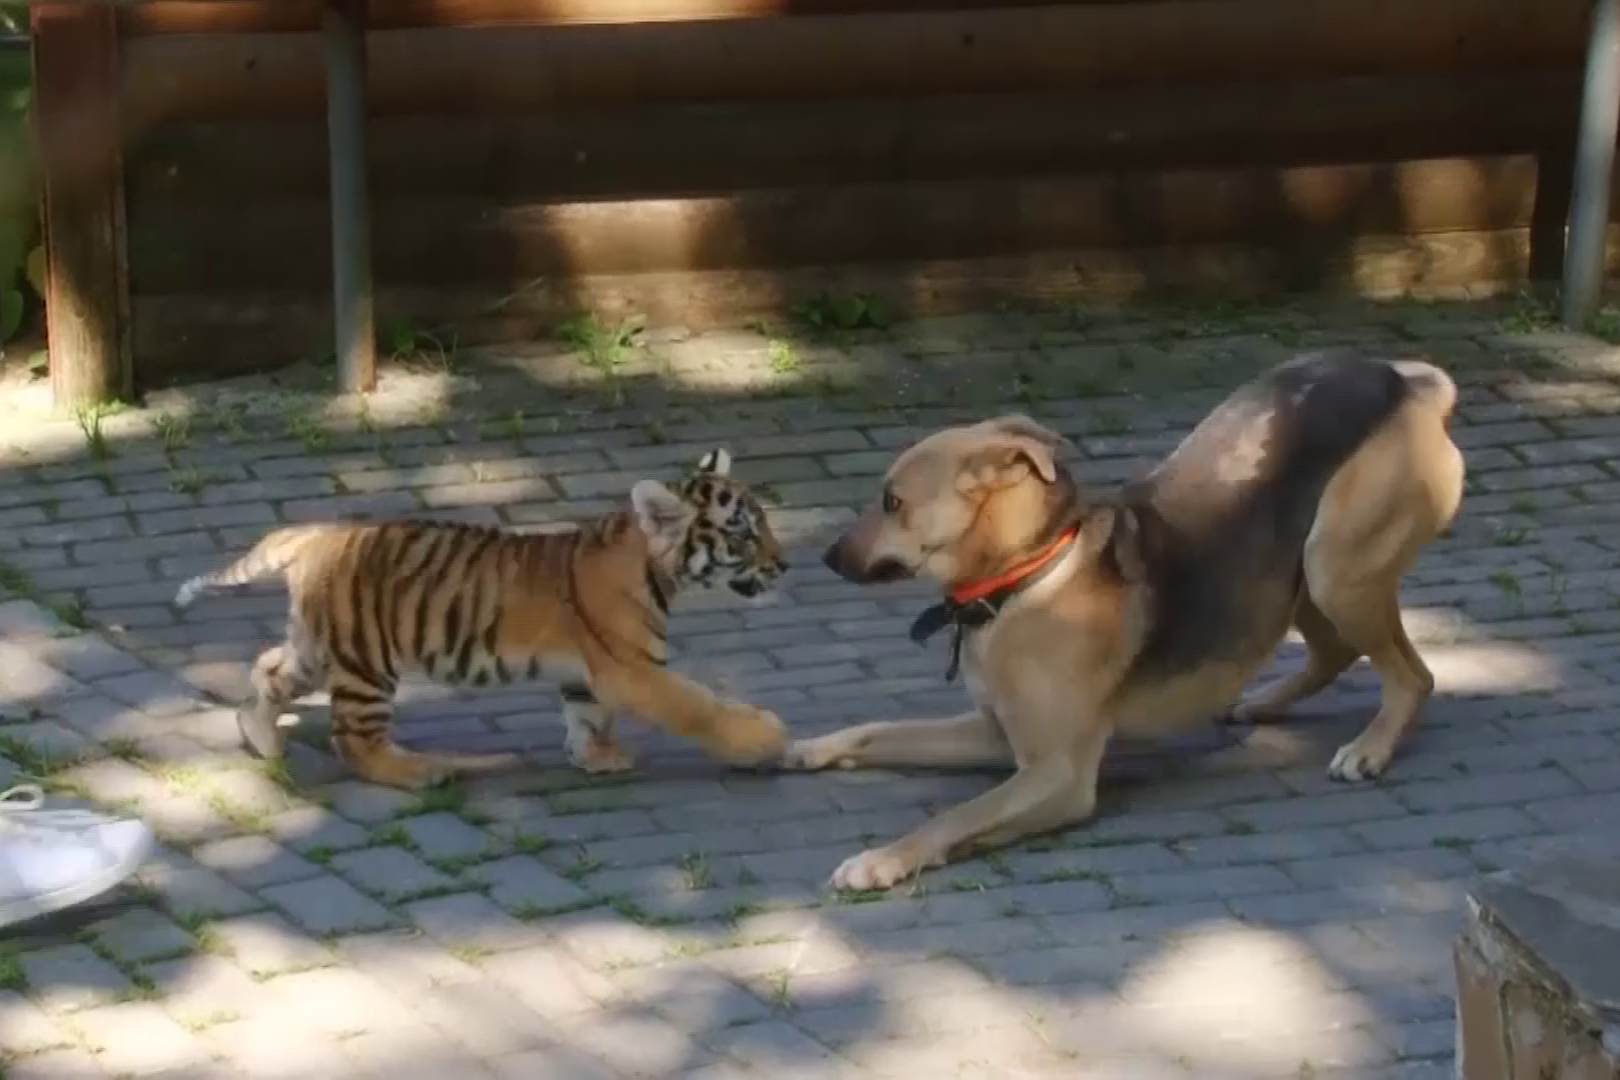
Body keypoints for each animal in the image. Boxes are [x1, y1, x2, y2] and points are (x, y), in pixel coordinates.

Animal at [784, 351, 1470, 893]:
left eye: (892, 501)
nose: (826, 557)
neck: (1029, 572)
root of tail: (1405, 381)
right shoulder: (996, 737)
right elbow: (878, 730)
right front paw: (815, 747)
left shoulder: (1057, 774)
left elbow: (954, 817)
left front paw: (880, 860)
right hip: (1293, 575)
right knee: (1335, 653)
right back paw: (1261, 703)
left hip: (1334, 569)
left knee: (1413, 676)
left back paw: (1370, 748)